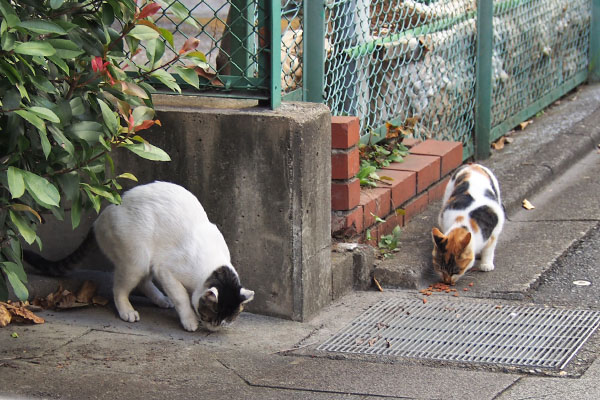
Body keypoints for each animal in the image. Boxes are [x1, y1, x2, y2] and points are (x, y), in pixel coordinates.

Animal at [24, 181, 254, 332]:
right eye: (212, 315)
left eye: (228, 319)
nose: (214, 327)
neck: (213, 268)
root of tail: (102, 215)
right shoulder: (166, 270)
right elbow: (181, 297)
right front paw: (189, 320)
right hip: (137, 258)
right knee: (119, 287)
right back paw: (127, 310)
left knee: (143, 282)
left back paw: (161, 299)